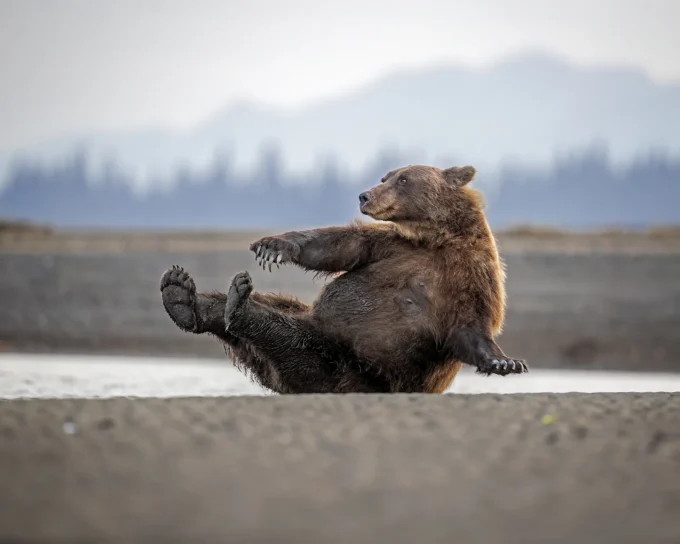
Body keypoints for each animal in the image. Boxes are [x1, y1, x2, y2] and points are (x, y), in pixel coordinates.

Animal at [160, 163, 527, 394]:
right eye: (385, 176)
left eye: (403, 179)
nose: (365, 195)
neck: (434, 238)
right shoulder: (390, 247)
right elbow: (338, 246)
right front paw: (273, 246)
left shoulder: (471, 274)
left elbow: (470, 327)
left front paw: (505, 361)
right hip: (320, 335)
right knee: (275, 307)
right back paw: (183, 295)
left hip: (339, 365)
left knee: (283, 335)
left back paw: (232, 305)